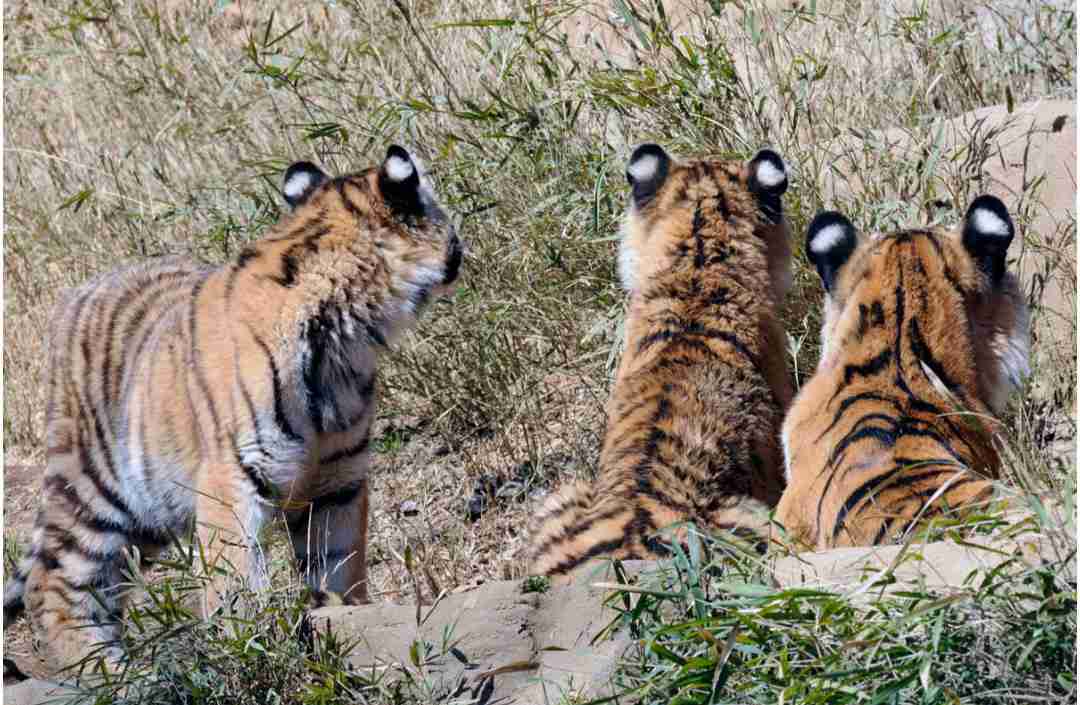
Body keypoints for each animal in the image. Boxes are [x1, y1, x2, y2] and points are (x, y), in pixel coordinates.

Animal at [2, 145, 463, 675]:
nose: (460, 247)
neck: (344, 339)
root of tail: (79, 293)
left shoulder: (337, 482)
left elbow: (337, 564)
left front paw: (343, 621)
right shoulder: (230, 478)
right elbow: (235, 579)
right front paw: (252, 651)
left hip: (150, 510)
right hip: (98, 487)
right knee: (53, 584)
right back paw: (116, 676)